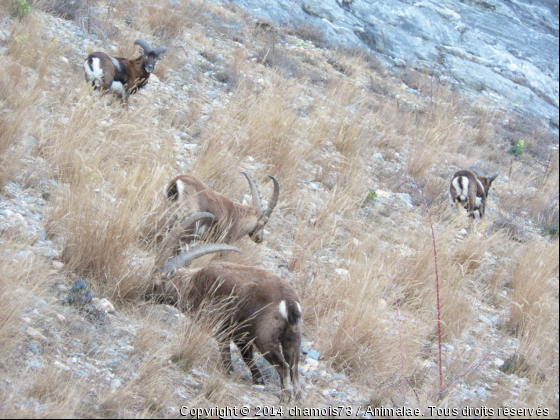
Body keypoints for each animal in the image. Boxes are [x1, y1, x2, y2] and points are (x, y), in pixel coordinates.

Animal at [147, 212, 300, 402]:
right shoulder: (241, 336)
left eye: (156, 282)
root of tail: (289, 300)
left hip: (265, 338)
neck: (193, 284)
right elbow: (247, 358)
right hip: (292, 338)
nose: (141, 292)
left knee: (283, 367)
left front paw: (229, 372)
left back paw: (284, 397)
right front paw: (258, 380)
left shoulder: (219, 326)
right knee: (294, 369)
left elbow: (226, 354)